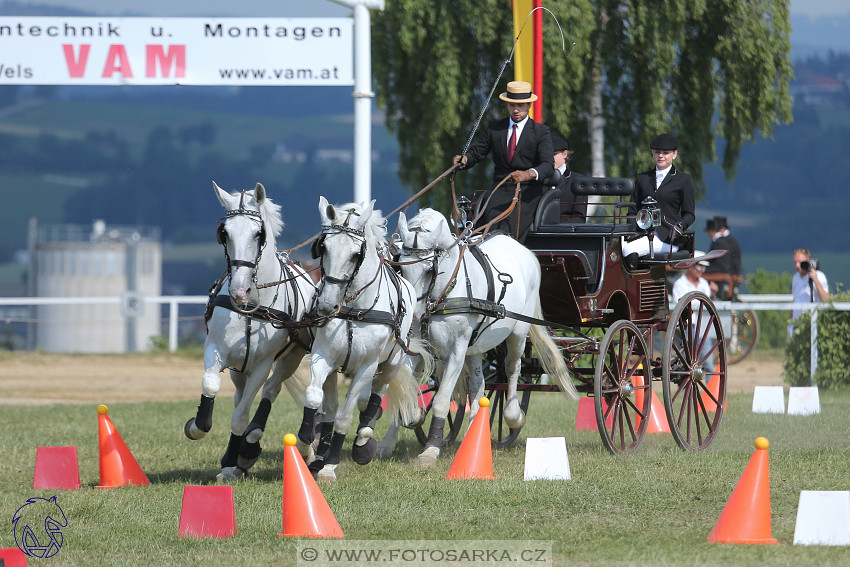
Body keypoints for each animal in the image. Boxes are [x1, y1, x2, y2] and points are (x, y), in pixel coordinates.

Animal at [185, 183, 314, 484]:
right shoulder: (216, 350)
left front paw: (237, 458)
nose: (239, 291)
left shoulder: (261, 365)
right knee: (238, 395)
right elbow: (211, 385)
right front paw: (197, 426)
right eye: (224, 233)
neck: (252, 306)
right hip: (237, 368)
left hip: (291, 357)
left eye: (259, 233)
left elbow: (241, 415)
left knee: (271, 389)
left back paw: (250, 445)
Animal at [296, 197, 430, 482]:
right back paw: (320, 454)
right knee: (330, 407)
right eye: (323, 247)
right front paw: (305, 445)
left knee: (376, 395)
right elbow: (314, 398)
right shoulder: (323, 357)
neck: (352, 309)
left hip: (392, 362)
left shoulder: (367, 366)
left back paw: (363, 442)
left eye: (355, 254)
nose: (326, 305)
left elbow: (346, 416)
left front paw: (331, 465)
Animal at [388, 207, 580, 466]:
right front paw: (393, 436)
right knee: (478, 386)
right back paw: (474, 434)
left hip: (518, 335)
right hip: (476, 346)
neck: (446, 292)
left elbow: (441, 400)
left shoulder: (457, 351)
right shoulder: (418, 348)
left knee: (512, 369)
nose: (415, 316)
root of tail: (523, 250)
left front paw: (430, 451)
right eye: (401, 266)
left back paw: (513, 415)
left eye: (430, 270)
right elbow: (405, 387)